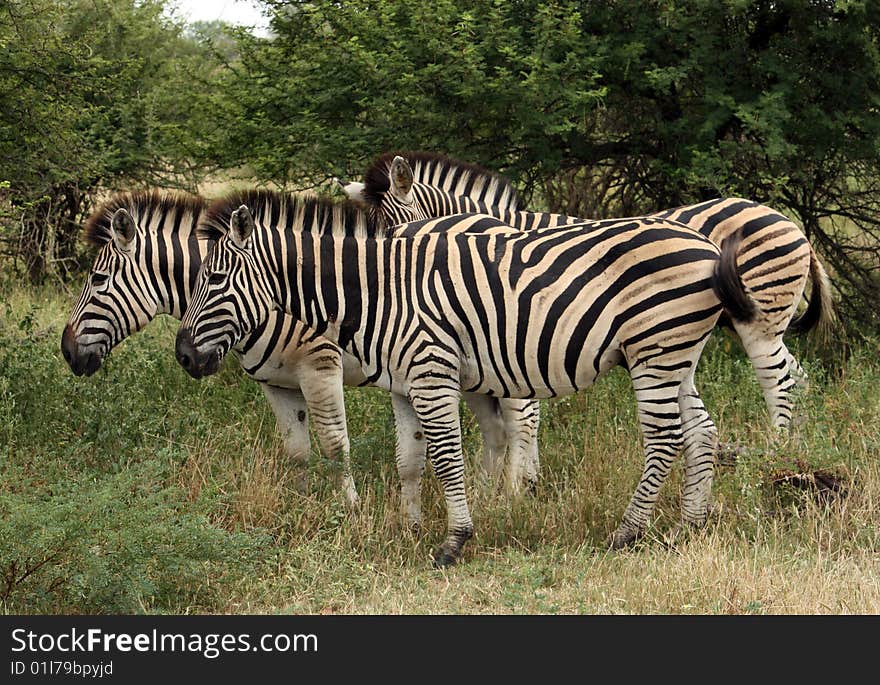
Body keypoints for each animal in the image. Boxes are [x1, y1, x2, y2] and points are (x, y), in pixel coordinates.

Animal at [177, 188, 756, 568]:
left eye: (216, 277)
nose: (183, 356)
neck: (379, 291)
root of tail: (707, 246)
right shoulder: (403, 385)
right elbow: (409, 460)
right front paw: (411, 530)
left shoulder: (433, 373)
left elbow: (447, 458)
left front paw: (454, 541)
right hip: (675, 352)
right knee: (700, 431)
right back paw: (687, 527)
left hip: (655, 348)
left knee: (664, 438)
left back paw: (628, 533)